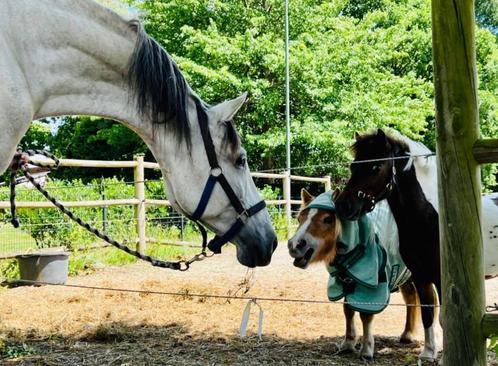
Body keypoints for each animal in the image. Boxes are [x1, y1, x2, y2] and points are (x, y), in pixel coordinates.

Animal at [334, 129, 498, 360]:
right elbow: (427, 313)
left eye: (376, 167)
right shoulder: (421, 276)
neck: (429, 218)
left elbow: (443, 317)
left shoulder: (441, 278)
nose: (343, 206)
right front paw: (428, 353)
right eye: (353, 165)